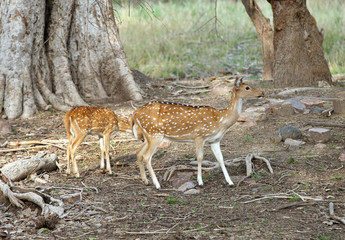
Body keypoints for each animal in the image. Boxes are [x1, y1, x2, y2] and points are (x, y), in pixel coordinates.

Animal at [131, 79, 264, 189]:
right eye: (247, 87)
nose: (262, 93)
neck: (220, 120)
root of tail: (134, 114)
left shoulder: (215, 140)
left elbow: (220, 159)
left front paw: (230, 182)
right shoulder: (199, 136)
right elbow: (200, 157)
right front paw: (200, 181)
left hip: (148, 136)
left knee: (139, 152)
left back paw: (146, 181)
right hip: (154, 134)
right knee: (147, 156)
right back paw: (157, 184)